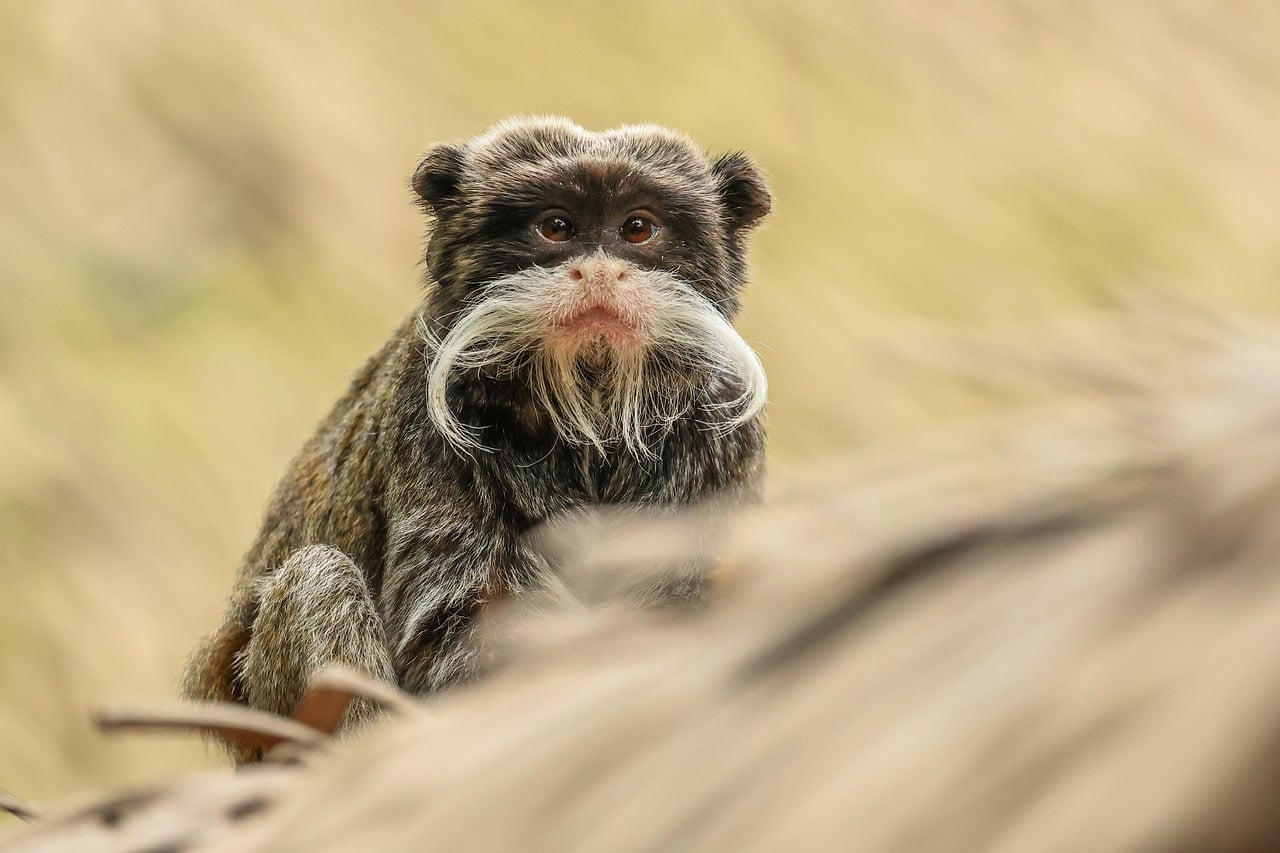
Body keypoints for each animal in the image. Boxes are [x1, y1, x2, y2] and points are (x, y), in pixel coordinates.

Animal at [180, 117, 772, 761]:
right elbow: (451, 626)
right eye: (556, 227)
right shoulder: (426, 416)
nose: (598, 272)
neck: (589, 409)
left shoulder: (725, 432)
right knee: (317, 579)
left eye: (637, 228)